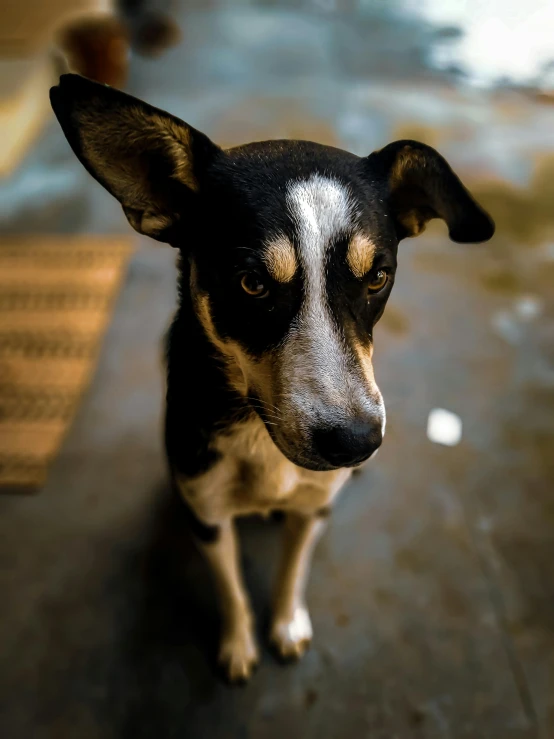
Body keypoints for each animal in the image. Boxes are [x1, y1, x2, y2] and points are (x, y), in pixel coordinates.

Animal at [49, 73, 494, 684]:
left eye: (378, 277)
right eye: (252, 283)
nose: (357, 443)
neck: (260, 438)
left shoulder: (313, 509)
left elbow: (292, 569)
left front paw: (286, 625)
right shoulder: (208, 515)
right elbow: (231, 588)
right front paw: (239, 647)